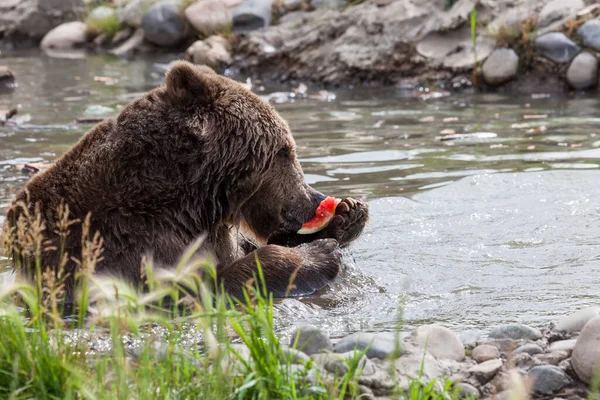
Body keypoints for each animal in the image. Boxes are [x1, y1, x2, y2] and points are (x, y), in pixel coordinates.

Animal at [2, 61, 368, 300]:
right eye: (286, 151)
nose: (313, 198)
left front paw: (347, 215)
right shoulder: (127, 246)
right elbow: (205, 285)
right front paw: (317, 253)